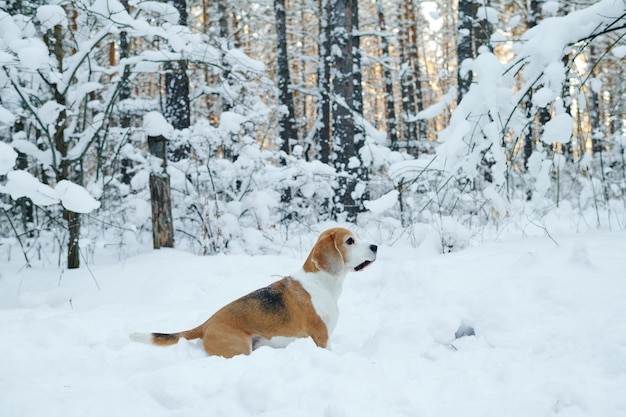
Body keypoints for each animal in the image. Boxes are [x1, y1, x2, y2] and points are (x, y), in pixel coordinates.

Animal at [131, 228, 376, 358]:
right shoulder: (321, 338)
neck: (322, 281)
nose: (375, 246)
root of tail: (206, 324)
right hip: (239, 348)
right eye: (350, 241)